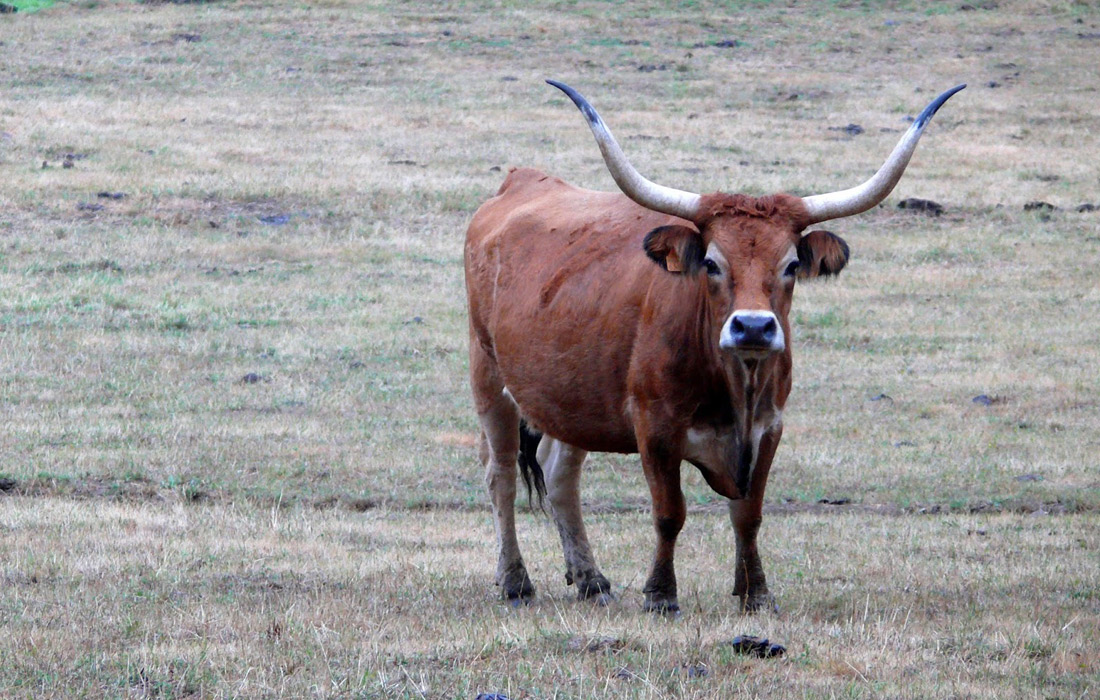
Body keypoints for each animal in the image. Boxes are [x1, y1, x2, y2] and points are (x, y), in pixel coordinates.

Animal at [464, 80, 964, 613]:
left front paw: (756, 593)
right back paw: (515, 580)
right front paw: (661, 595)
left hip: (572, 399)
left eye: (791, 265)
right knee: (500, 475)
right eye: (711, 262)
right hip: (489, 378)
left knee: (560, 475)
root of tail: (518, 182)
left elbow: (748, 514)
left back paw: (591, 579)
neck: (734, 387)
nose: (753, 327)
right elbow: (670, 513)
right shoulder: (655, 429)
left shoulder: (769, 428)